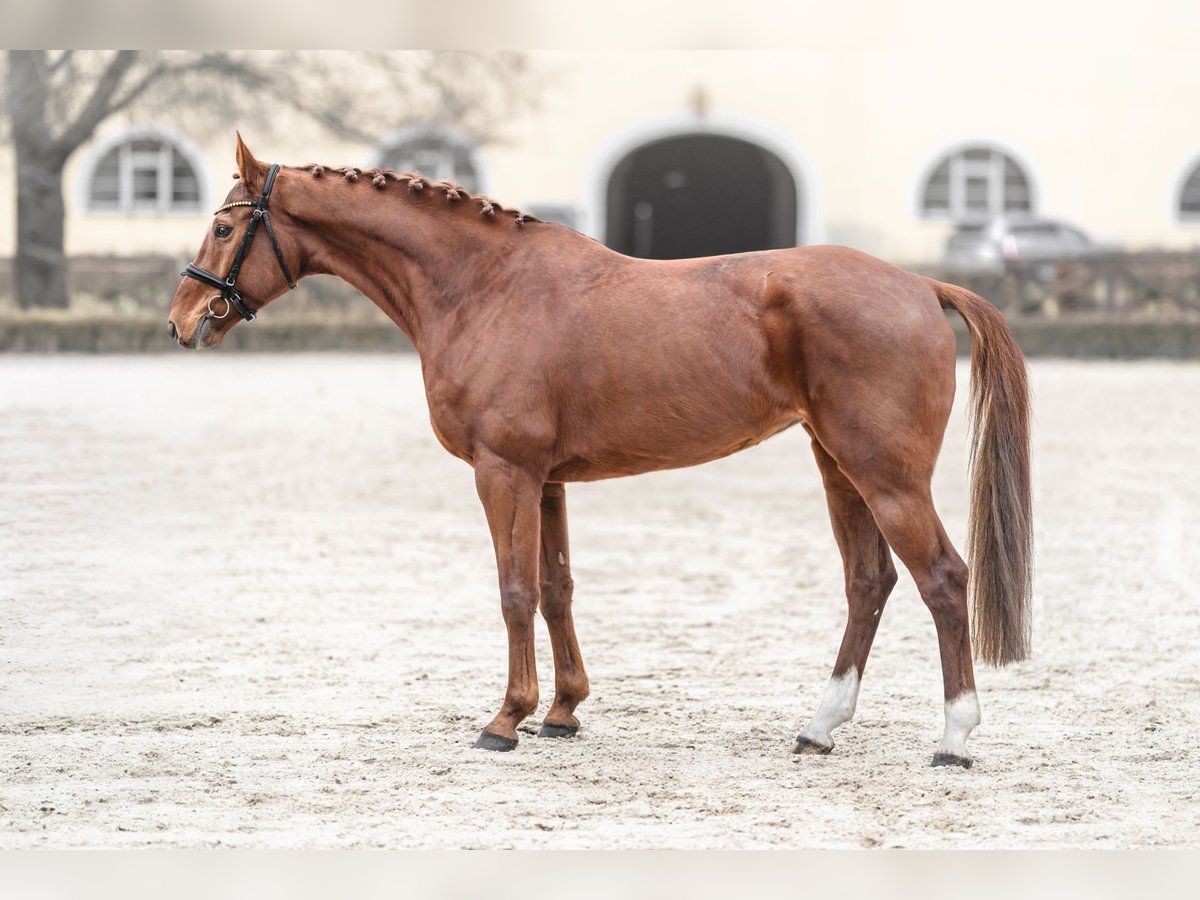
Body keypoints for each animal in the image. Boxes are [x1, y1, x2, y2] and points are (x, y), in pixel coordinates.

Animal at [169, 135, 1032, 768]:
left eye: (224, 225)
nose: (182, 320)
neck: (484, 285)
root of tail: (921, 286)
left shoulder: (505, 473)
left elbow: (515, 590)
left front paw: (506, 719)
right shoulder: (547, 481)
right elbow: (557, 589)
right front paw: (562, 712)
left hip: (886, 475)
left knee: (942, 579)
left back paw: (954, 738)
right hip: (837, 465)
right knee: (869, 581)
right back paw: (819, 727)